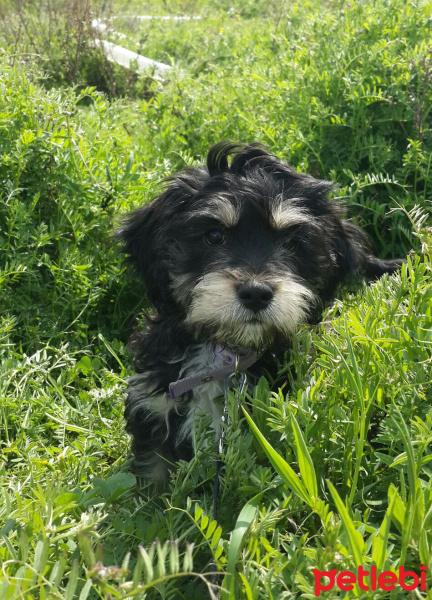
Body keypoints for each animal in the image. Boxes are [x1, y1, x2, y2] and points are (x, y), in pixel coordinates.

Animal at [116, 142, 404, 488]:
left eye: (292, 243)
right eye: (214, 236)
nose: (256, 293)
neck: (226, 353)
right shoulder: (154, 407)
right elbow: (152, 478)